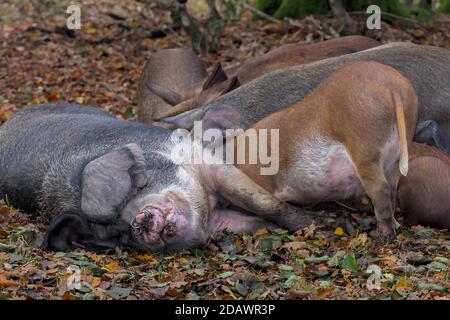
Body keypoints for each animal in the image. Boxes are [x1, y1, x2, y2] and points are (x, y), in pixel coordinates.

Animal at [0, 104, 320, 251]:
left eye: (136, 186)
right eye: (119, 232)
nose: (141, 220)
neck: (209, 209)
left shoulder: (201, 158)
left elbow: (261, 202)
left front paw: (313, 226)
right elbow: (253, 222)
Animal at [232, 61, 418, 242]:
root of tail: (392, 86)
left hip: (364, 146)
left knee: (380, 188)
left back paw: (383, 237)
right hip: (397, 150)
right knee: (392, 188)